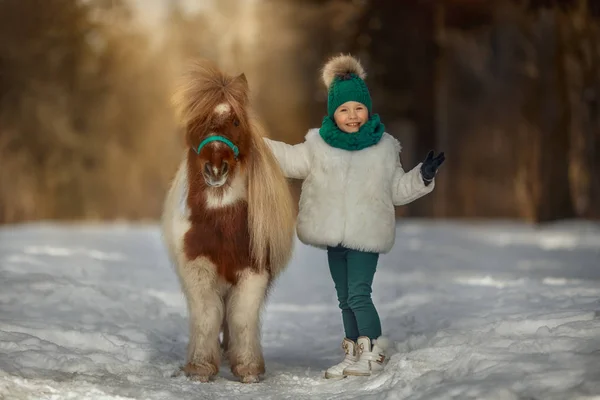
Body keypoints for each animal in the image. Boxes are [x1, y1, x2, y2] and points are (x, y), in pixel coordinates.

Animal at [162, 60, 296, 384]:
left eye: (235, 121)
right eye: (198, 121)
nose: (215, 169)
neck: (220, 221)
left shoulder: (253, 270)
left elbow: (241, 317)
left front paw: (248, 368)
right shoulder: (198, 266)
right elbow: (207, 315)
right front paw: (200, 367)